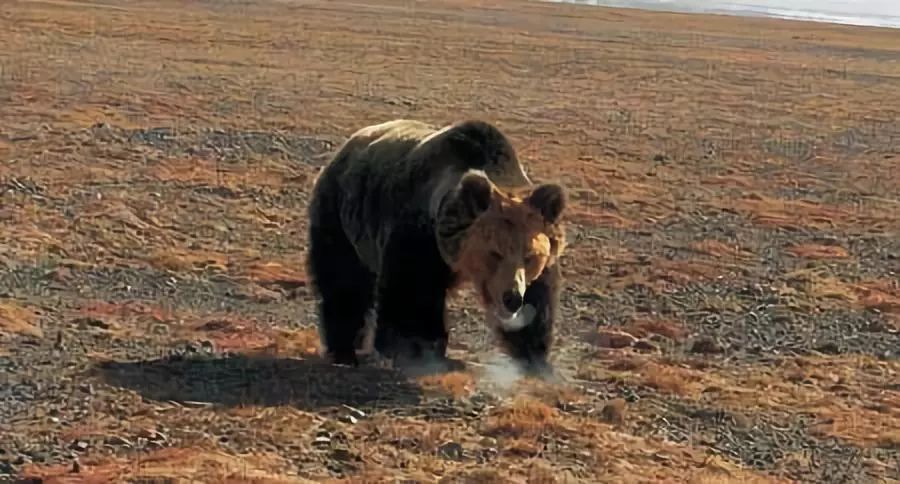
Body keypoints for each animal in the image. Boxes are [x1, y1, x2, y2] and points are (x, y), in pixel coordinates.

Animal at [306, 119, 568, 376]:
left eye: (530, 256)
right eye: (494, 253)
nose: (511, 298)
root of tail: (345, 148)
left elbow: (538, 303)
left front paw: (536, 359)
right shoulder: (419, 238)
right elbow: (410, 295)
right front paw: (417, 350)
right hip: (342, 215)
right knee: (344, 280)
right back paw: (344, 350)